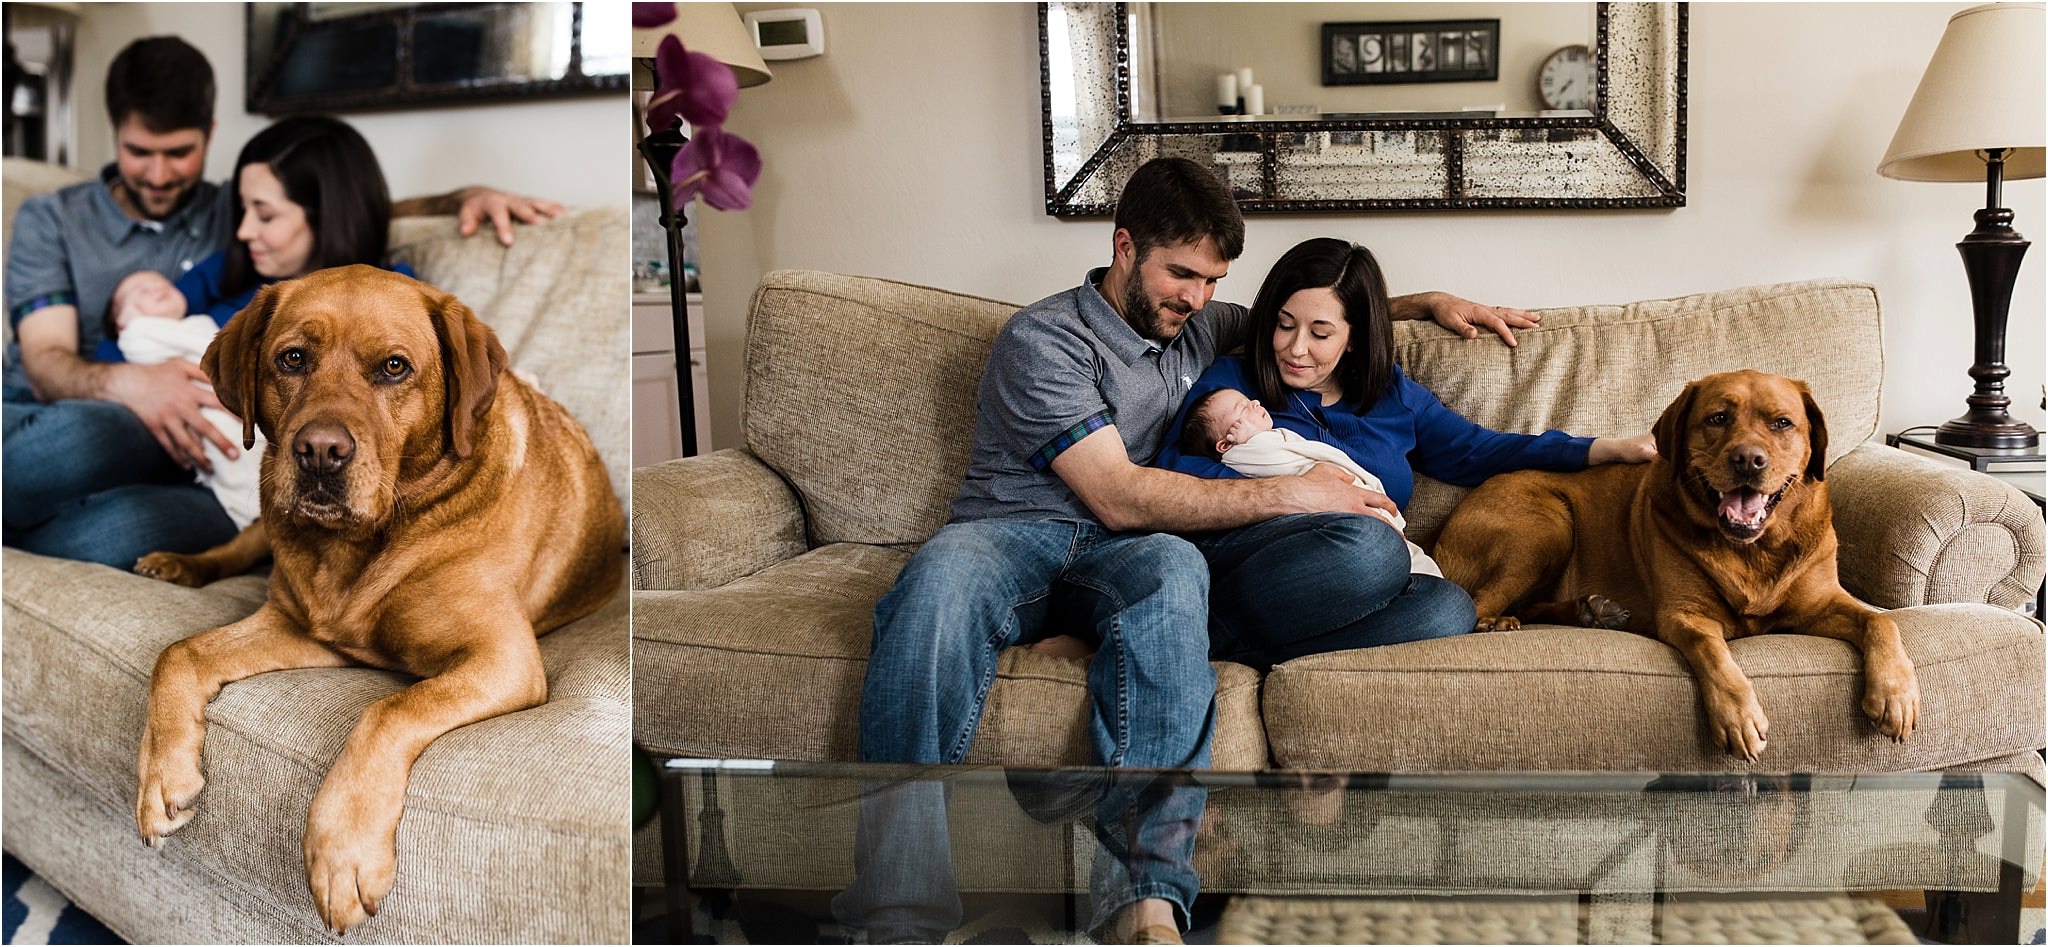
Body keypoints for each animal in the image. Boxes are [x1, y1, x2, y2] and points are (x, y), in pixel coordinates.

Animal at [129, 266, 622, 930]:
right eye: (291, 358)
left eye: (393, 367)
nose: (319, 452)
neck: (361, 546)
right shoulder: (301, 626)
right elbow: (178, 652)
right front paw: (161, 778)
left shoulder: (504, 659)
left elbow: (388, 710)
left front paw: (343, 851)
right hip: (268, 503)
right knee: (240, 543)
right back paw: (177, 564)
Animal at [1441, 368, 1916, 762]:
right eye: (1718, 418)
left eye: (1782, 423)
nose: (1748, 459)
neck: (1753, 549)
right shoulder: (1684, 614)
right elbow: (1713, 652)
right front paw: (1738, 716)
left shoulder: (1821, 604)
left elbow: (1880, 621)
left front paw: (1896, 693)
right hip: (1546, 526)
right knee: (1478, 605)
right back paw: (1500, 622)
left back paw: (1592, 611)